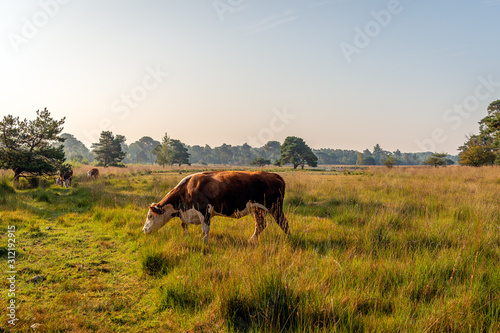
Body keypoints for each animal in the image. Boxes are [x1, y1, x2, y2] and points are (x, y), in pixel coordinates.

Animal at [141, 171, 290, 241]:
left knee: (284, 223)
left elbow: (205, 229)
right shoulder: (187, 214)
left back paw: (289, 240)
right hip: (257, 209)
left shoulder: (204, 210)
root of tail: (273, 175)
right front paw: (186, 237)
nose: (144, 230)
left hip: (275, 208)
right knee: (260, 225)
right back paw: (251, 241)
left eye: (150, 216)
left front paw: (204, 243)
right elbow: (184, 226)